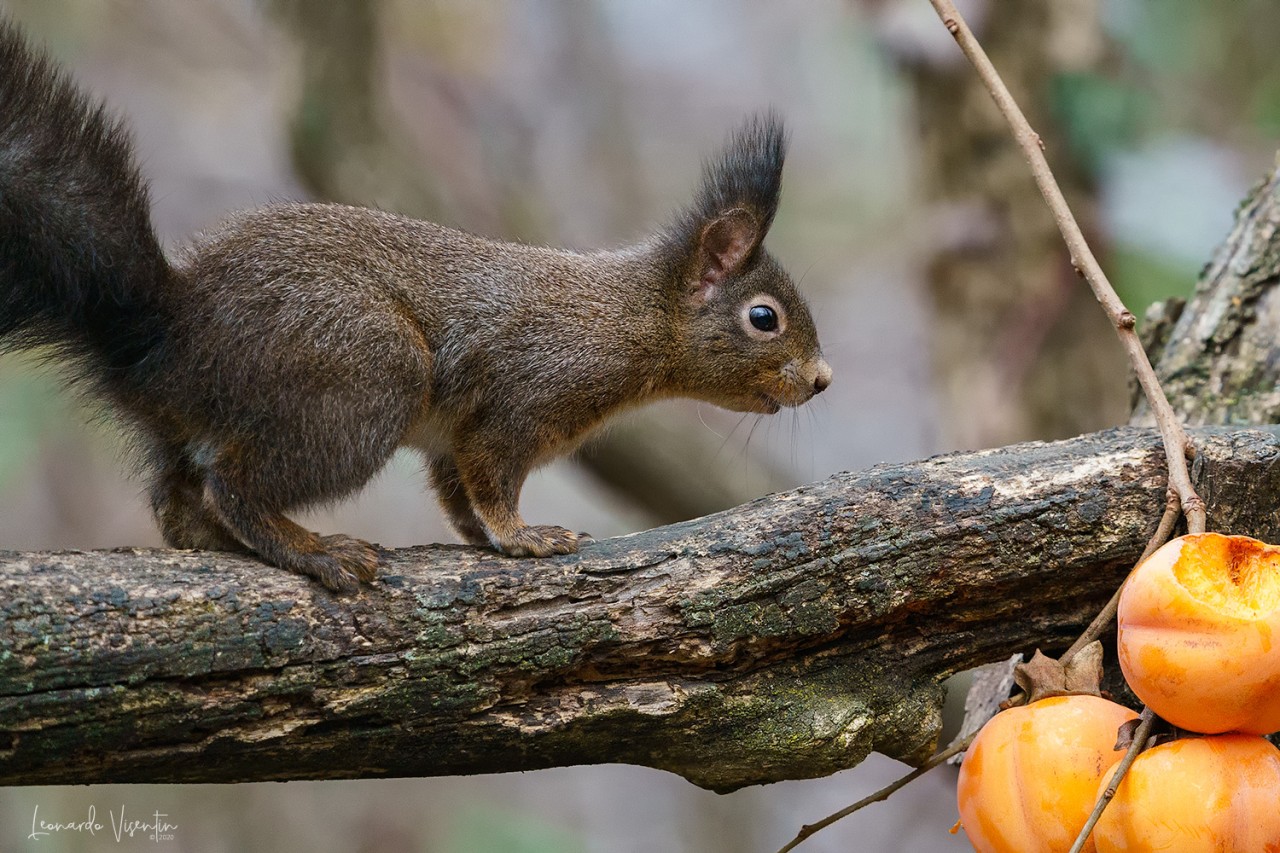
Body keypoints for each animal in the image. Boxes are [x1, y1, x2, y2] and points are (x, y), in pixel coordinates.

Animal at [0, 21, 831, 592]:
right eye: (764, 318)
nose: (822, 379)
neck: (632, 316)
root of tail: (170, 329)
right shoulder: (520, 397)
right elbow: (492, 479)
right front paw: (522, 537)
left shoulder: (449, 436)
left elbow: (456, 491)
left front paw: (486, 537)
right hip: (364, 377)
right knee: (232, 485)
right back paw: (313, 549)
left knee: (177, 503)